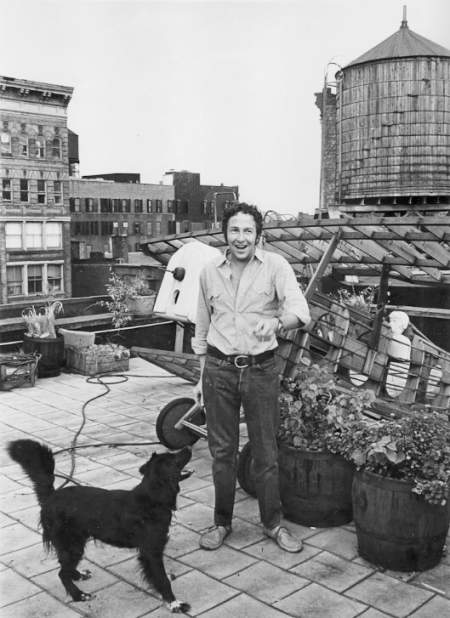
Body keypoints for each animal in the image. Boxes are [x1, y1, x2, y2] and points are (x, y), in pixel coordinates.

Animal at [7, 438, 192, 612]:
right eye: (174, 458)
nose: (189, 447)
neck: (153, 498)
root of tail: (51, 496)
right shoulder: (151, 551)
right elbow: (162, 579)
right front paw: (174, 603)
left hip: (74, 542)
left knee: (64, 565)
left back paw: (78, 575)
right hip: (72, 544)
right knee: (62, 573)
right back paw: (79, 595)